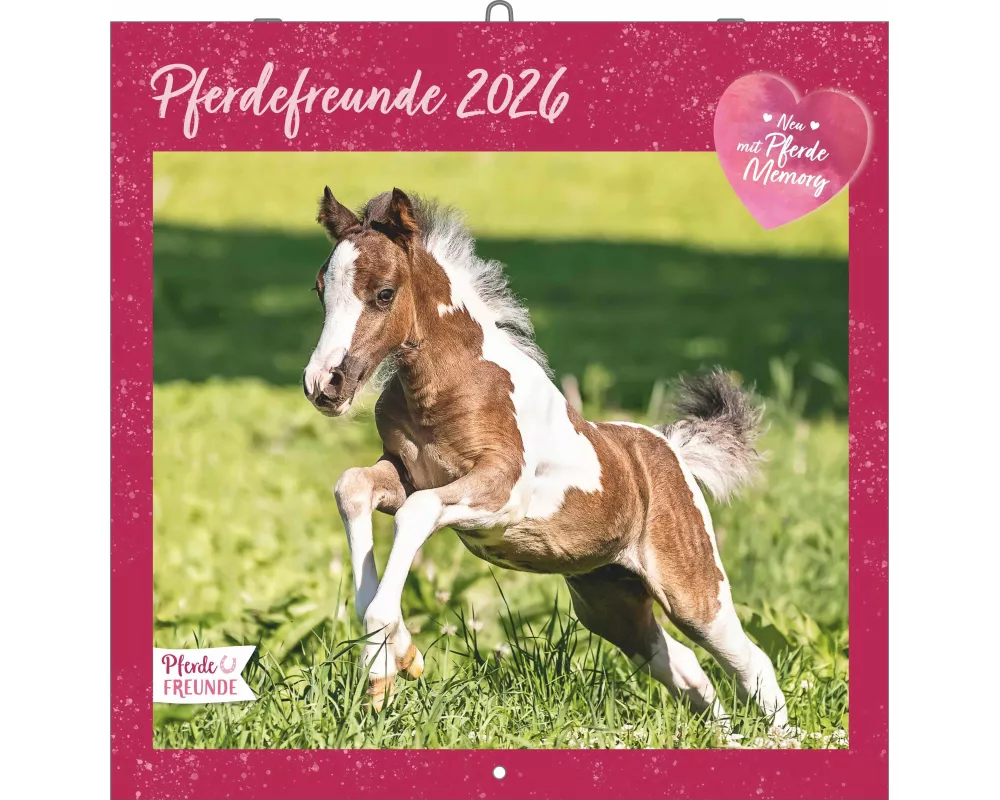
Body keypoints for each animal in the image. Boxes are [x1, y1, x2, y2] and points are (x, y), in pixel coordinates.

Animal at [302, 186, 788, 727]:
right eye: (321, 290)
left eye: (384, 293)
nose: (324, 384)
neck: (449, 384)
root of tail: (671, 448)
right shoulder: (405, 471)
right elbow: (352, 487)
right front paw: (386, 660)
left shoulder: (502, 490)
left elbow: (417, 511)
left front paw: (391, 656)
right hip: (609, 598)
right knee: (681, 665)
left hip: (693, 589)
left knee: (750, 661)